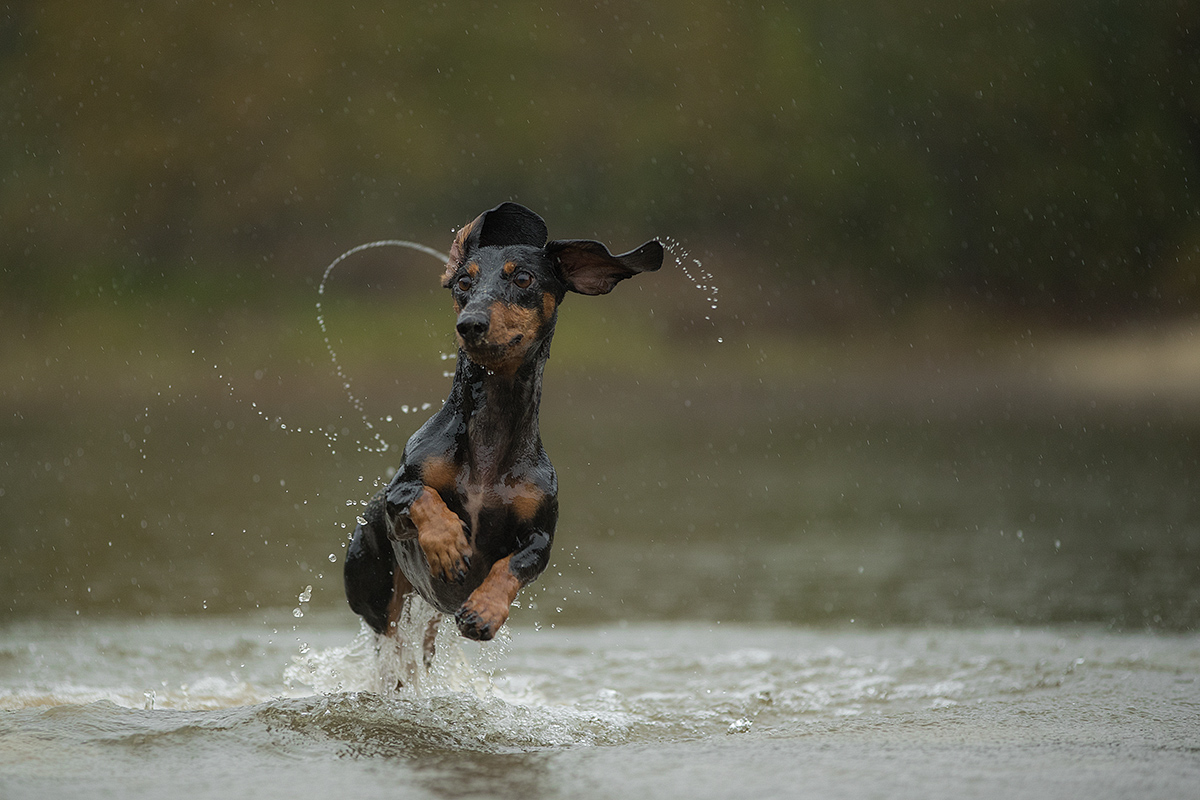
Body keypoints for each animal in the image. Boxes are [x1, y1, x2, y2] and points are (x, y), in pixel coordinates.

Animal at [343, 201, 667, 657]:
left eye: (523, 278)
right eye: (464, 282)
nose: (470, 324)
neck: (490, 436)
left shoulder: (540, 538)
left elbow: (514, 564)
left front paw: (485, 610)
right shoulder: (397, 499)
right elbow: (419, 496)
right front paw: (448, 544)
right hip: (375, 591)